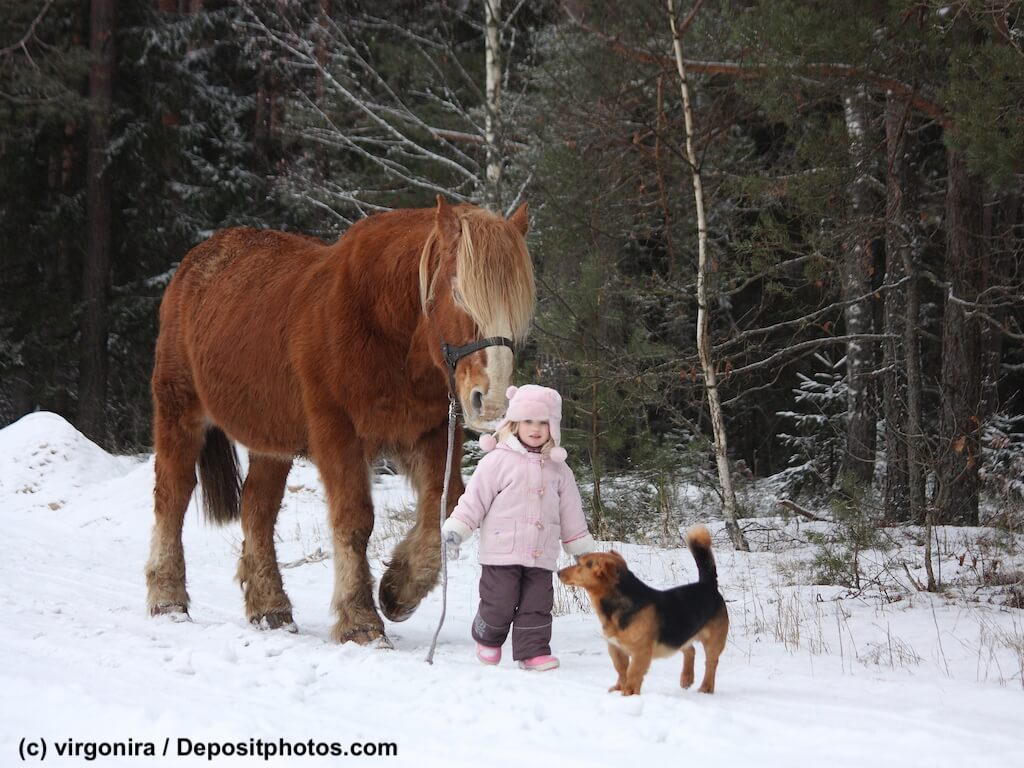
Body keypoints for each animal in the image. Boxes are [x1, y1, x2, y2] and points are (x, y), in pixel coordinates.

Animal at [144, 197, 535, 645]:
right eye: (458, 292)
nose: (491, 401)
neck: (381, 324)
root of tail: (194, 264)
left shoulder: (430, 431)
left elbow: (446, 503)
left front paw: (398, 590)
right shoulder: (338, 433)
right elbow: (354, 519)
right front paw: (360, 620)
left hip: (271, 441)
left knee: (257, 510)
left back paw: (270, 607)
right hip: (178, 408)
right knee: (172, 496)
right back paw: (168, 598)